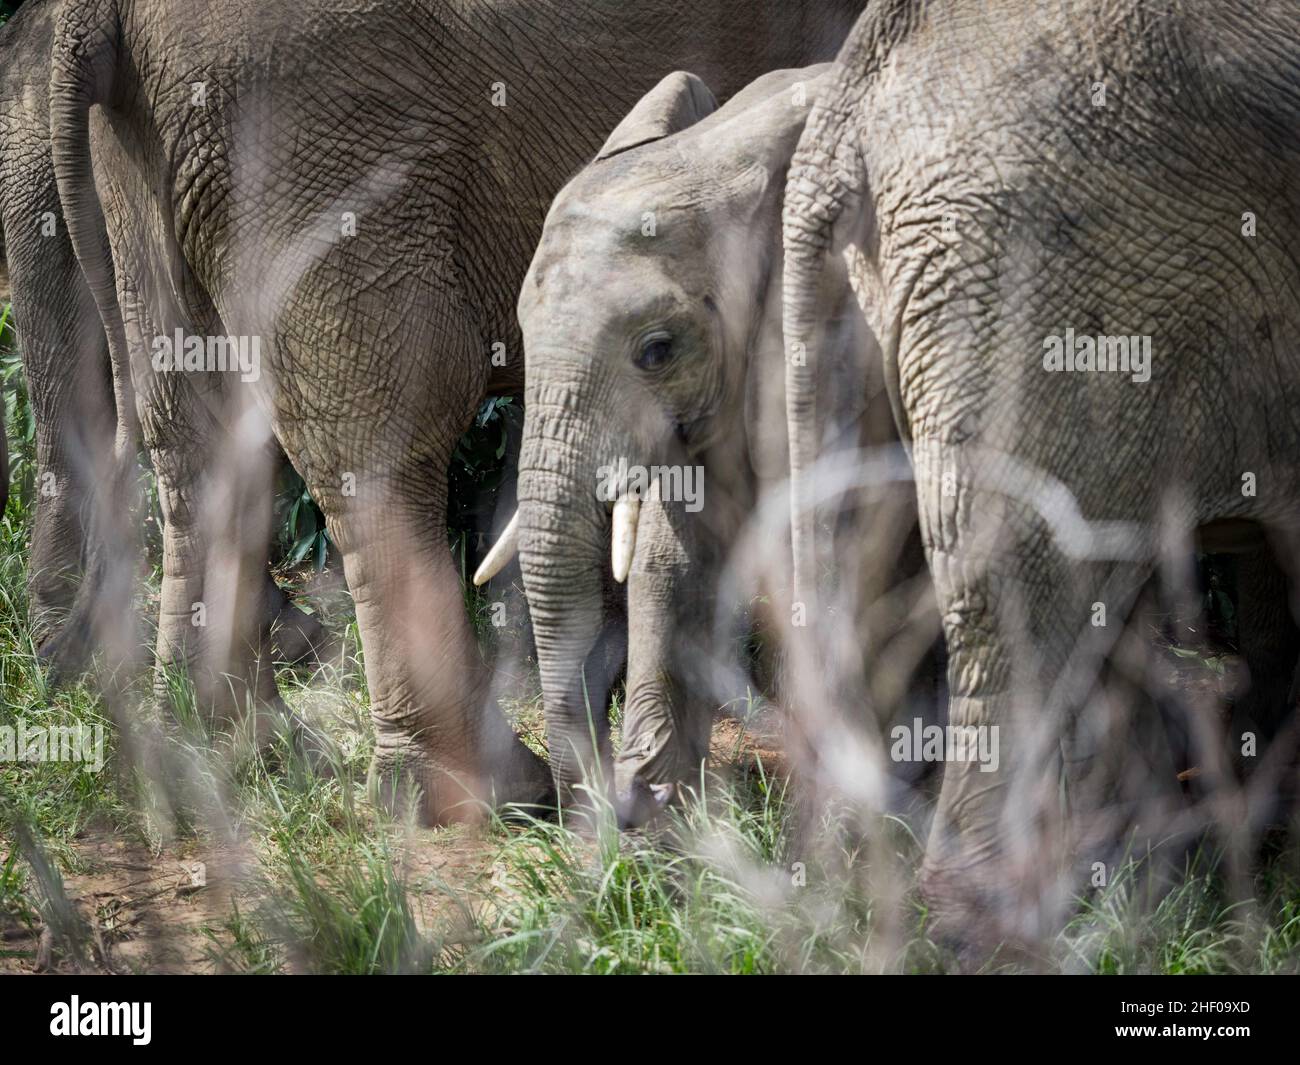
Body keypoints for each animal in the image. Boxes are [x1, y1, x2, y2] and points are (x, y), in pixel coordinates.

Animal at [50, 0, 868, 827]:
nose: (613, 799)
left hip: (152, 146)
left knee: (197, 431)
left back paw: (225, 751)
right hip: (308, 119)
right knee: (383, 433)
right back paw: (480, 789)